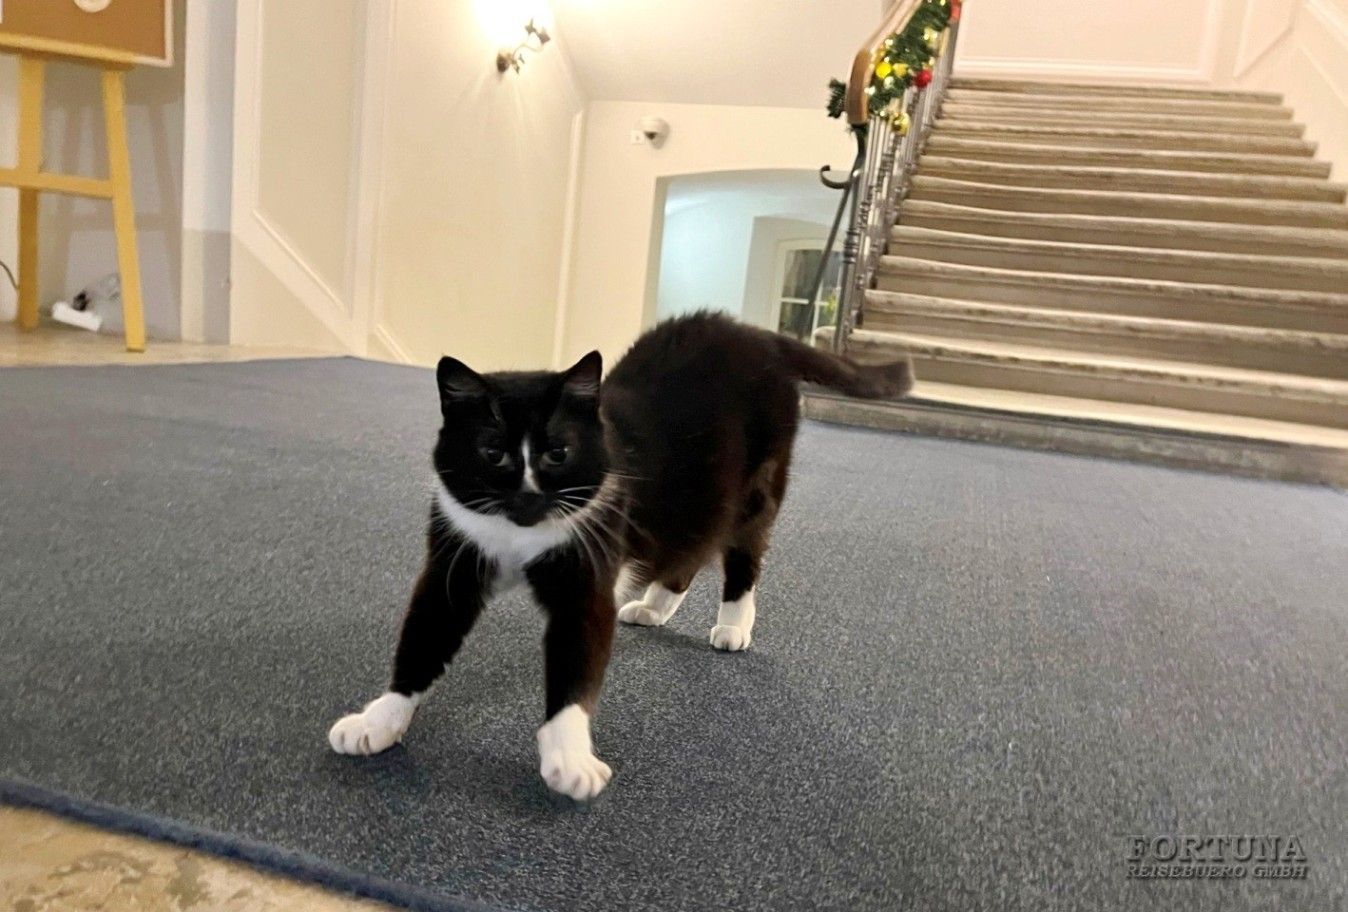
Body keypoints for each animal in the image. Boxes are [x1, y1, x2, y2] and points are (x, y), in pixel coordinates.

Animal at [328, 313, 912, 800]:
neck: (521, 535)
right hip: (693, 499)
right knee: (687, 548)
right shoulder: (456, 556)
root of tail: (757, 333)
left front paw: (568, 759)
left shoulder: (587, 570)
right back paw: (653, 606)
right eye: (491, 452)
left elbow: (576, 657)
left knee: (743, 550)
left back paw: (733, 623)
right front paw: (378, 720)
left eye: (558, 452)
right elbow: (424, 637)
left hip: (756, 484)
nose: (528, 497)